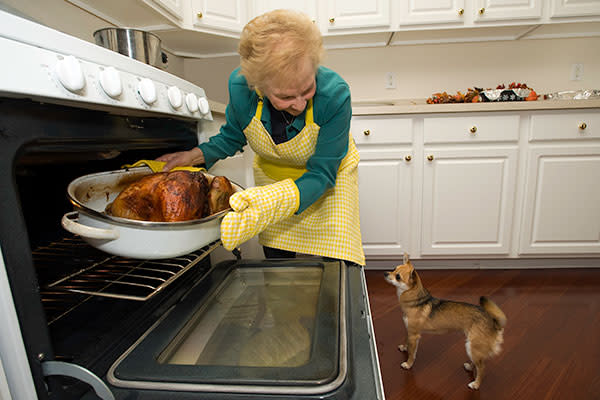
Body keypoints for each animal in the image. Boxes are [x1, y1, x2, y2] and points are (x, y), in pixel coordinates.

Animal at [384, 255, 506, 390]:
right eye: (393, 268)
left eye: (398, 276)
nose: (385, 273)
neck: (416, 300)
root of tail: (493, 322)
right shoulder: (409, 331)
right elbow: (406, 341)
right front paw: (404, 347)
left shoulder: (414, 335)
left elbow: (412, 353)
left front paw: (408, 364)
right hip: (473, 348)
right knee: (477, 363)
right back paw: (469, 367)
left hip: (472, 346)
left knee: (482, 368)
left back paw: (476, 384)